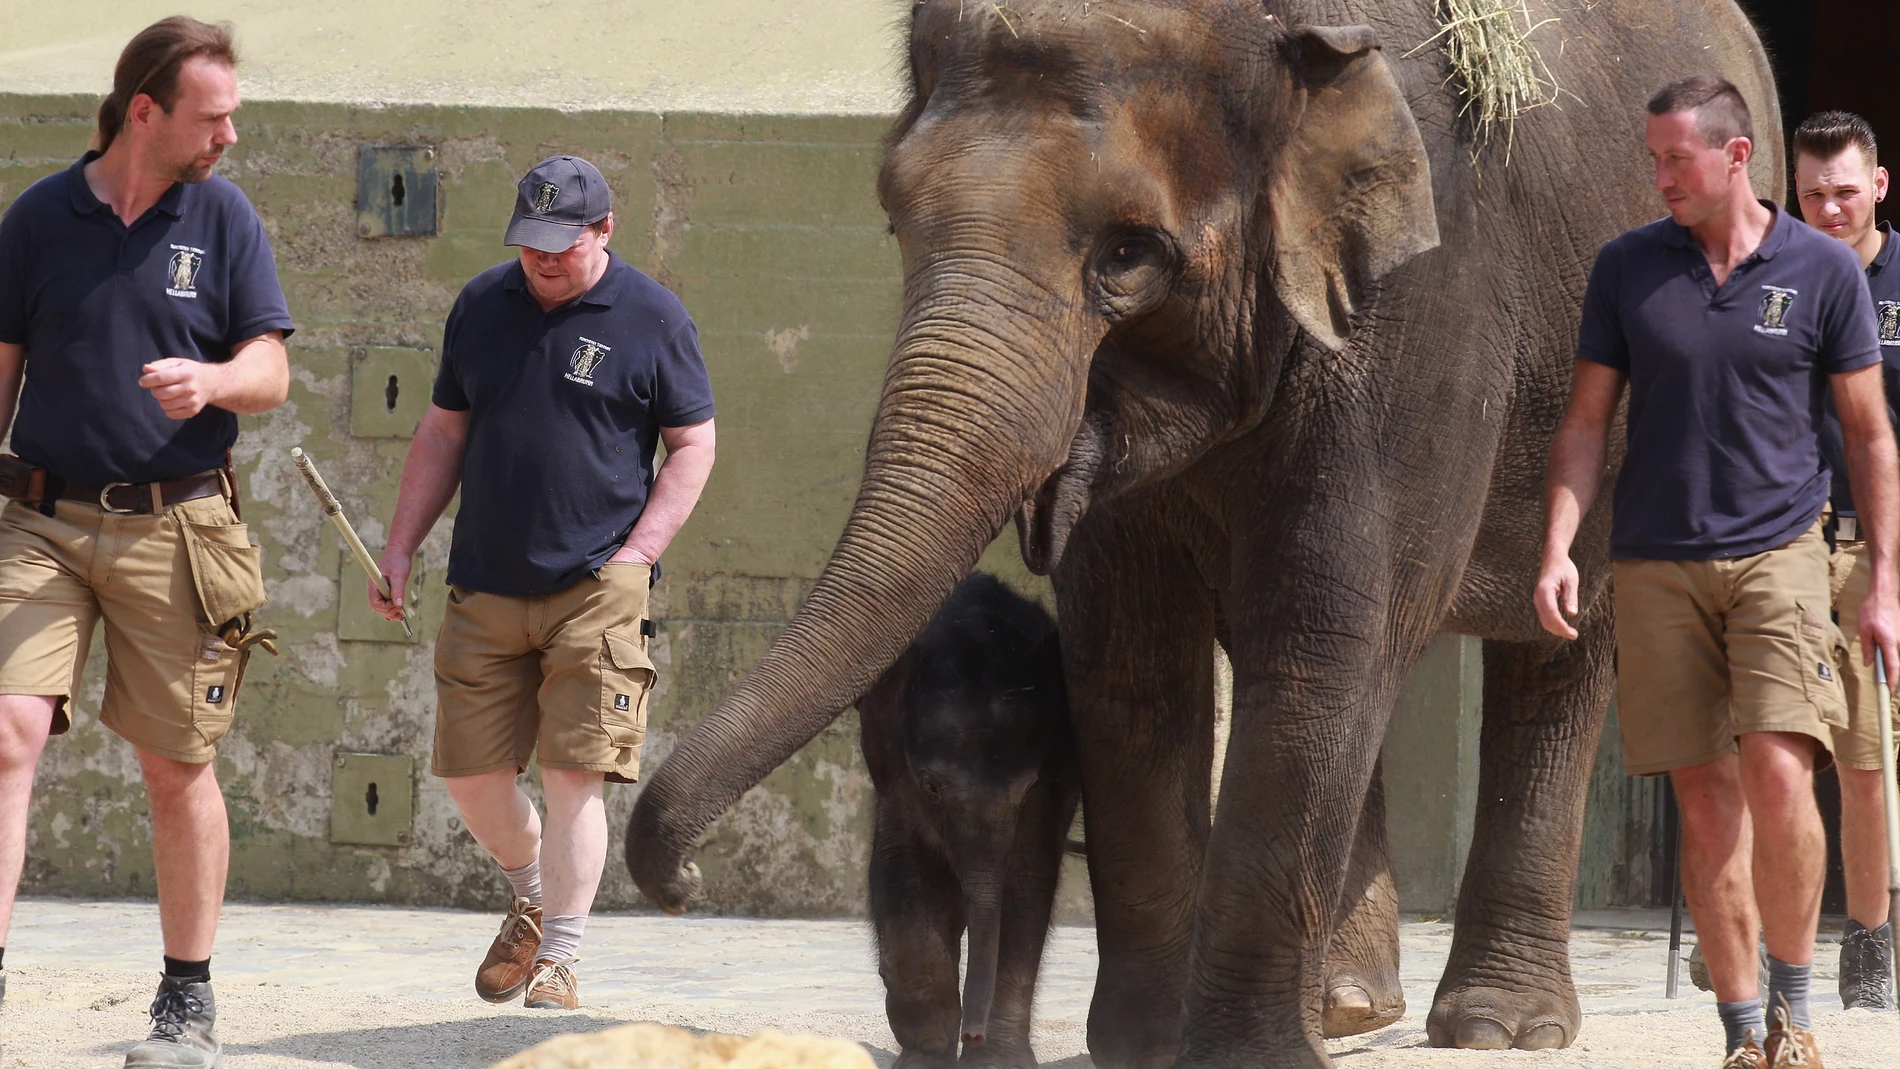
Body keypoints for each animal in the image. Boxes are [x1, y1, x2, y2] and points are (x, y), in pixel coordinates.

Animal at [857, 572, 1079, 1068]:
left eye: (1027, 789)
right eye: (932, 787)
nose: (972, 1036)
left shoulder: (1050, 787)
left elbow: (1027, 886)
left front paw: (994, 1062)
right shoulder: (898, 785)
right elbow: (903, 874)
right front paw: (926, 1049)